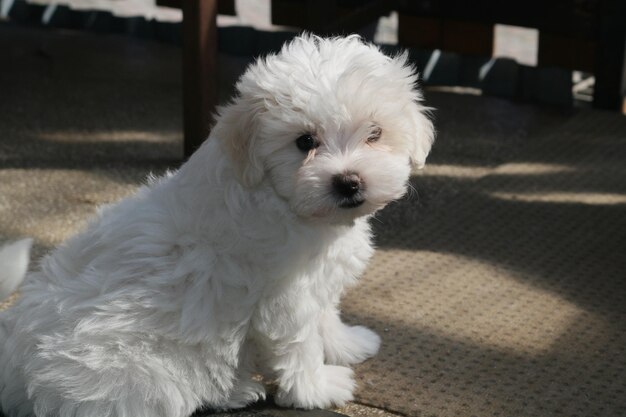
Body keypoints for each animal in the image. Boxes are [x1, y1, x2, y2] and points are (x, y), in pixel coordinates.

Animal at [0, 35, 428, 416]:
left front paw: (347, 344)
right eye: (305, 141)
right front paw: (318, 389)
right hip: (138, 371)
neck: (279, 200)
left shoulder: (316, 281)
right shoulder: (285, 300)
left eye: (375, 133)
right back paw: (237, 391)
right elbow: (301, 345)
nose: (349, 182)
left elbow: (326, 316)